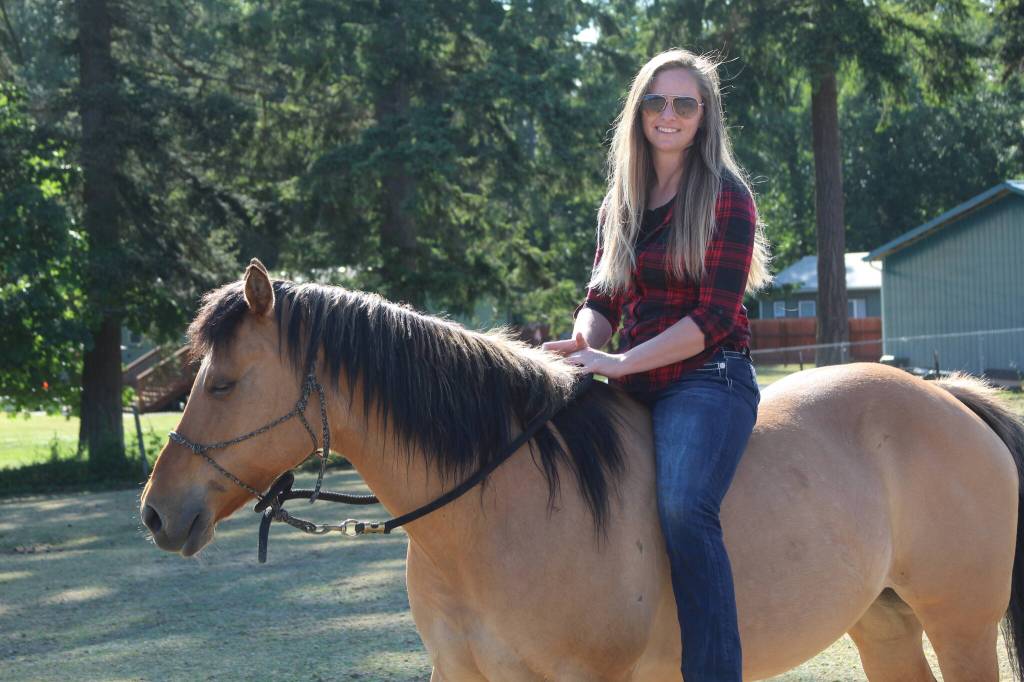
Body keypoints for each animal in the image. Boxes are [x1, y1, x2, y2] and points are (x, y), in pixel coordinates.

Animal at [140, 259, 1024, 681]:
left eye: (223, 383)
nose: (155, 511)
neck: (494, 511)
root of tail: (947, 397)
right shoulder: (460, 676)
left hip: (962, 626)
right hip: (884, 622)